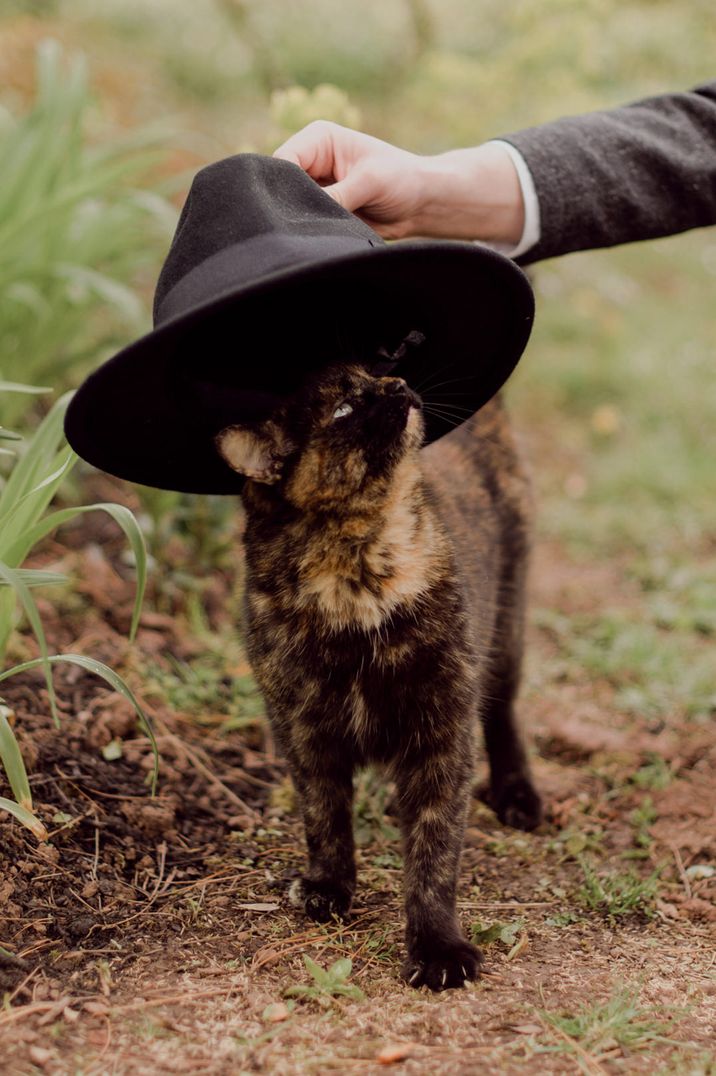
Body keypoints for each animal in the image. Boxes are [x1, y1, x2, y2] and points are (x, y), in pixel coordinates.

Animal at [215, 363, 538, 989]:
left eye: (377, 373)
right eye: (343, 408)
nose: (398, 386)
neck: (356, 577)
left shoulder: (442, 731)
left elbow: (434, 853)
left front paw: (438, 950)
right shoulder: (301, 729)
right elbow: (324, 816)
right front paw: (328, 888)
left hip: (507, 627)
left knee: (504, 712)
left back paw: (519, 796)